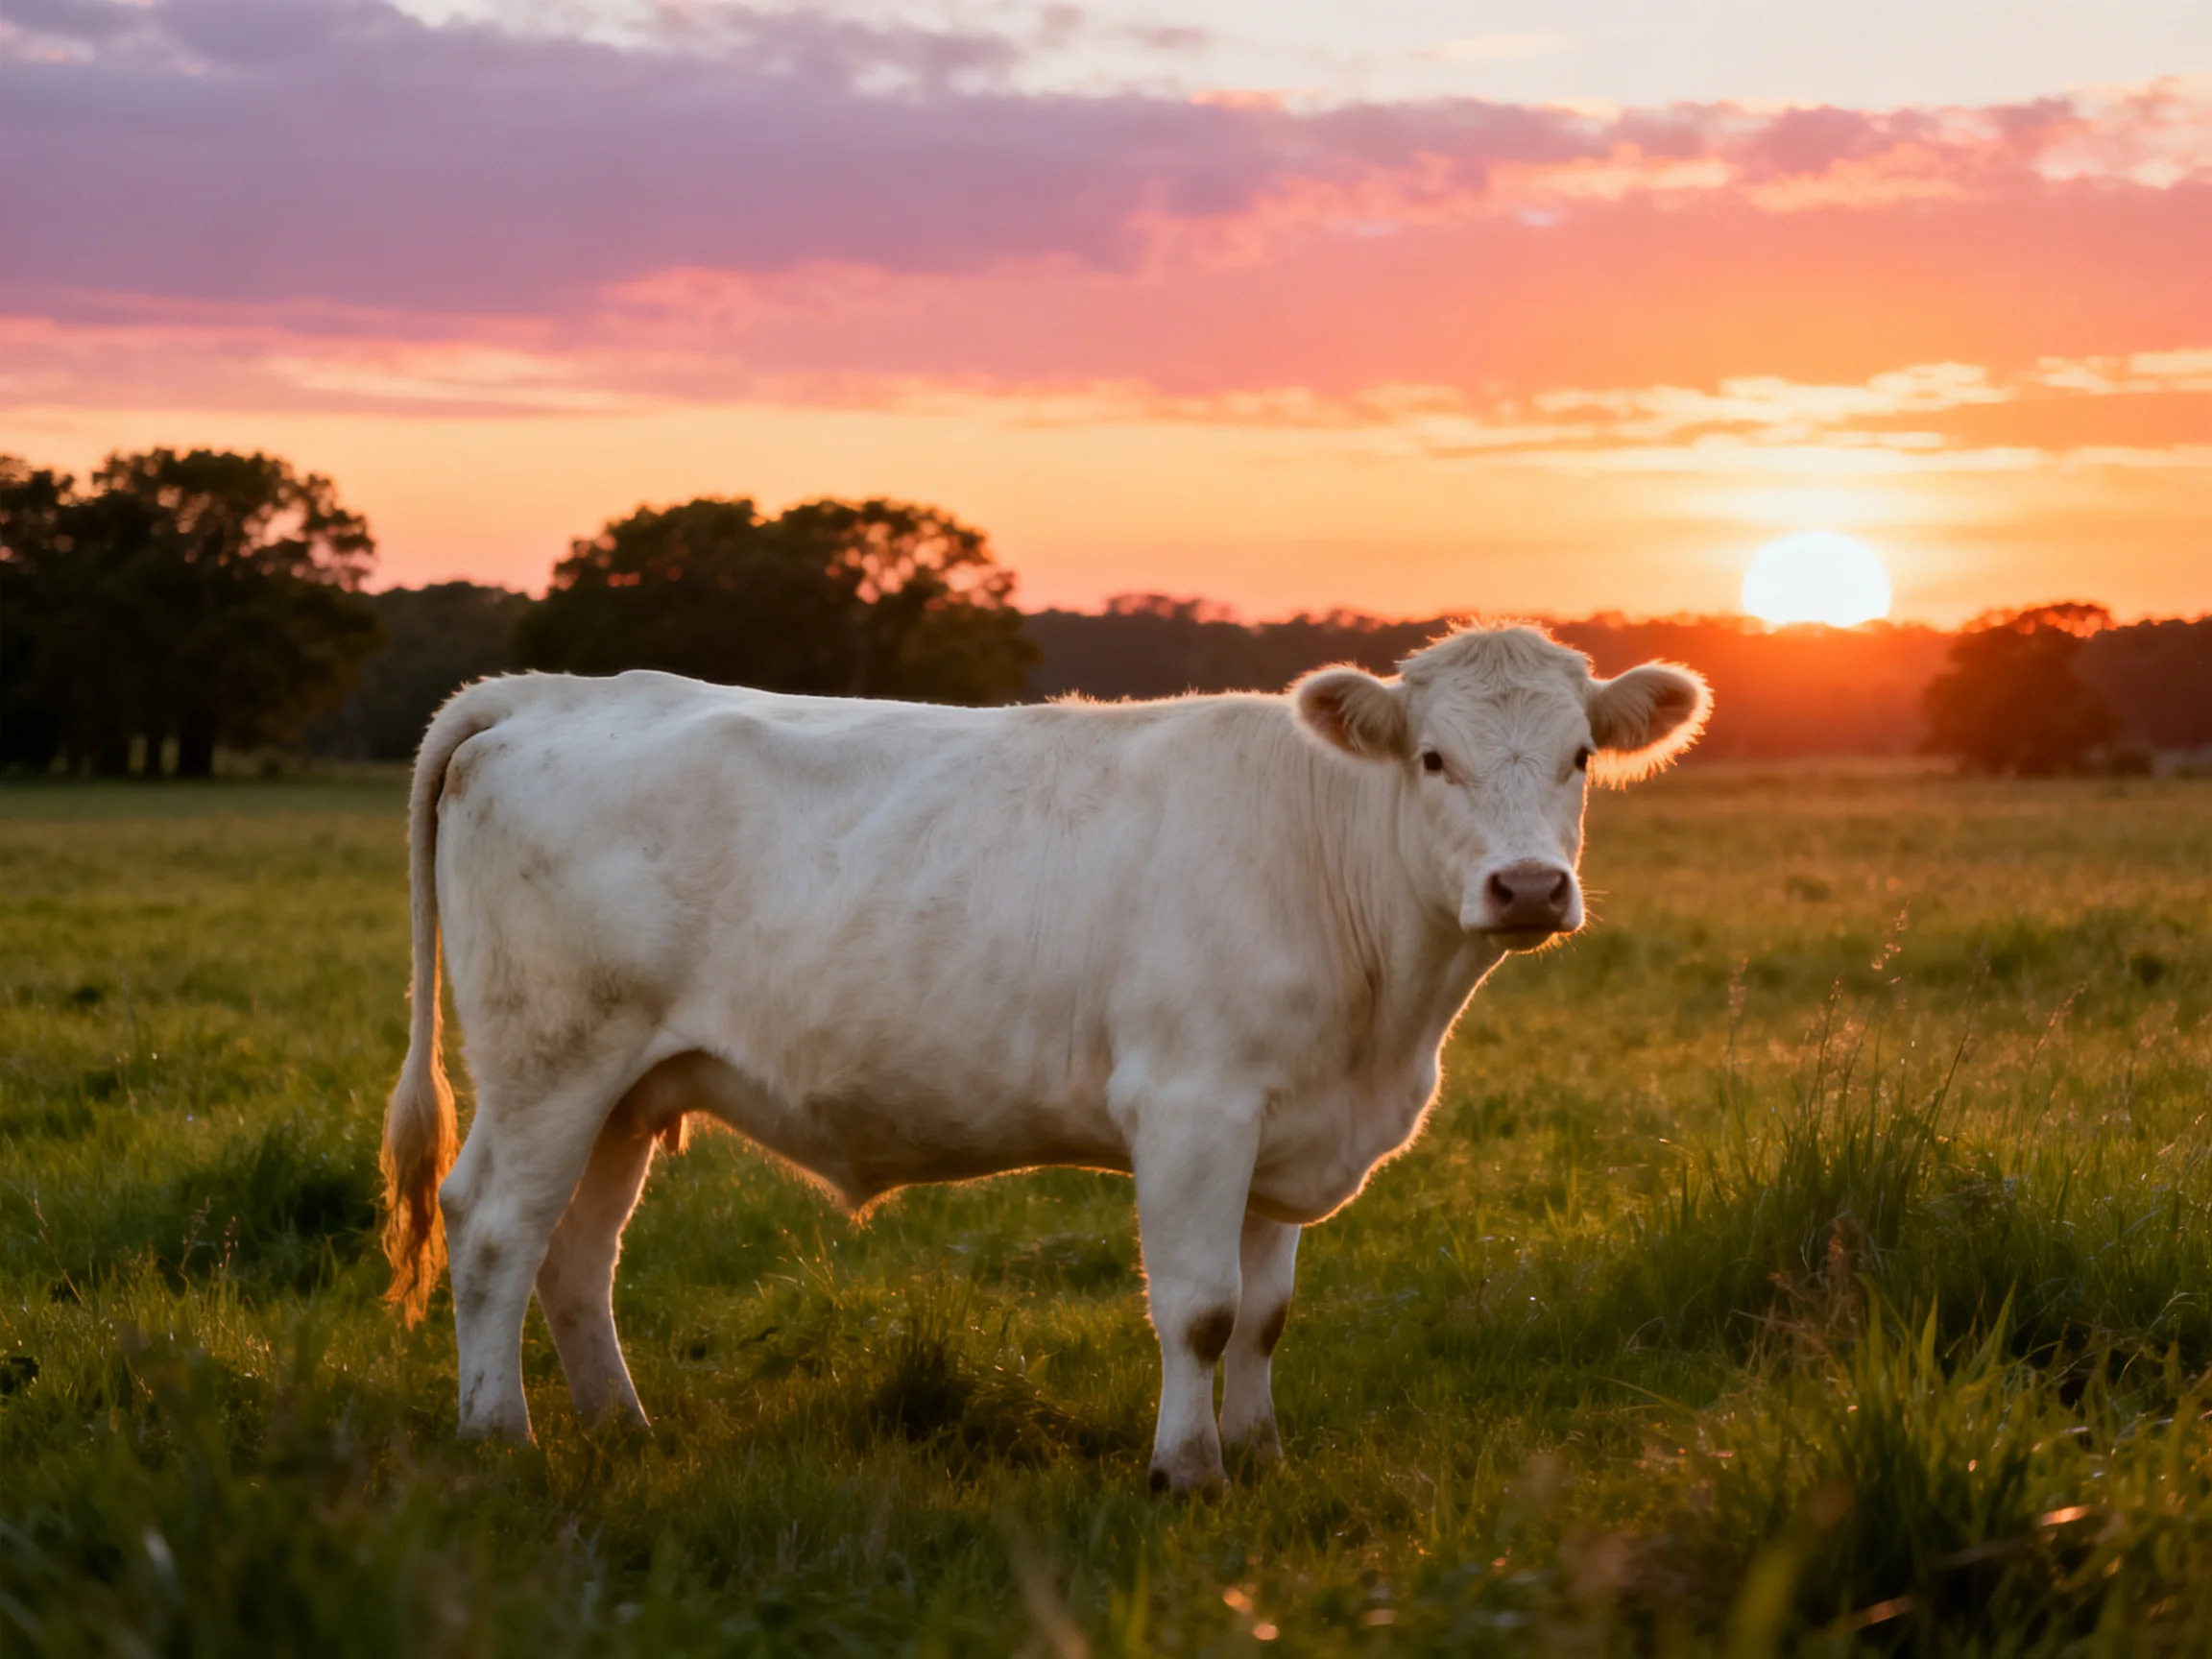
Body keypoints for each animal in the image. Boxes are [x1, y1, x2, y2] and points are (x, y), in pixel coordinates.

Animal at [381, 622, 1709, 1490]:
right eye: (1434, 759)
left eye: (1580, 759)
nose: (1528, 886)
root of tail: (547, 691)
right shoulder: (1192, 1106)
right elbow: (1202, 1309)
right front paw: (1187, 1472)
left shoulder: (1288, 1125)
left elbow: (1268, 1314)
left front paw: (1262, 1456)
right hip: (551, 1057)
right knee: (493, 1227)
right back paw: (499, 1437)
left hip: (624, 1088)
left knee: (577, 1253)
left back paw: (622, 1428)